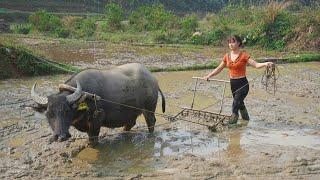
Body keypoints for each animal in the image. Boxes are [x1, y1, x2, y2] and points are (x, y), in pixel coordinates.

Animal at [31, 63, 166, 145]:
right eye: (48, 114)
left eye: (67, 111)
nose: (60, 137)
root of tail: (153, 78)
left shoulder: (96, 121)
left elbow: (93, 140)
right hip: (130, 111)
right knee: (130, 123)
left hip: (149, 109)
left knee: (151, 122)